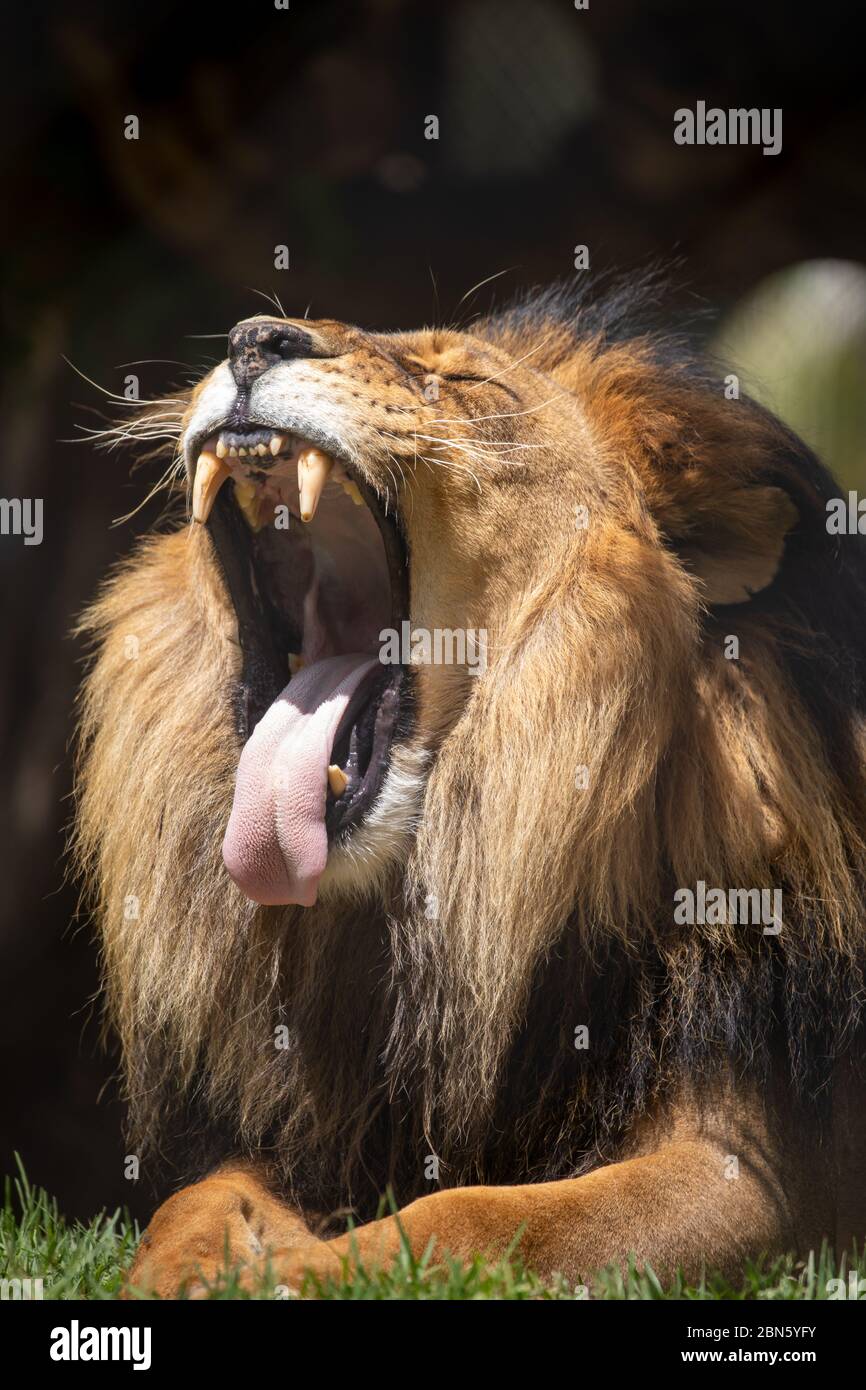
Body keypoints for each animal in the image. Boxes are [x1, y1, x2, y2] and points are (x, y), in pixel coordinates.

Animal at [76, 276, 866, 1295]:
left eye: (465, 383)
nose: (252, 340)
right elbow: (193, 1197)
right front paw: (189, 1267)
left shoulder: (764, 1169)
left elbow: (485, 1217)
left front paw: (293, 1272)